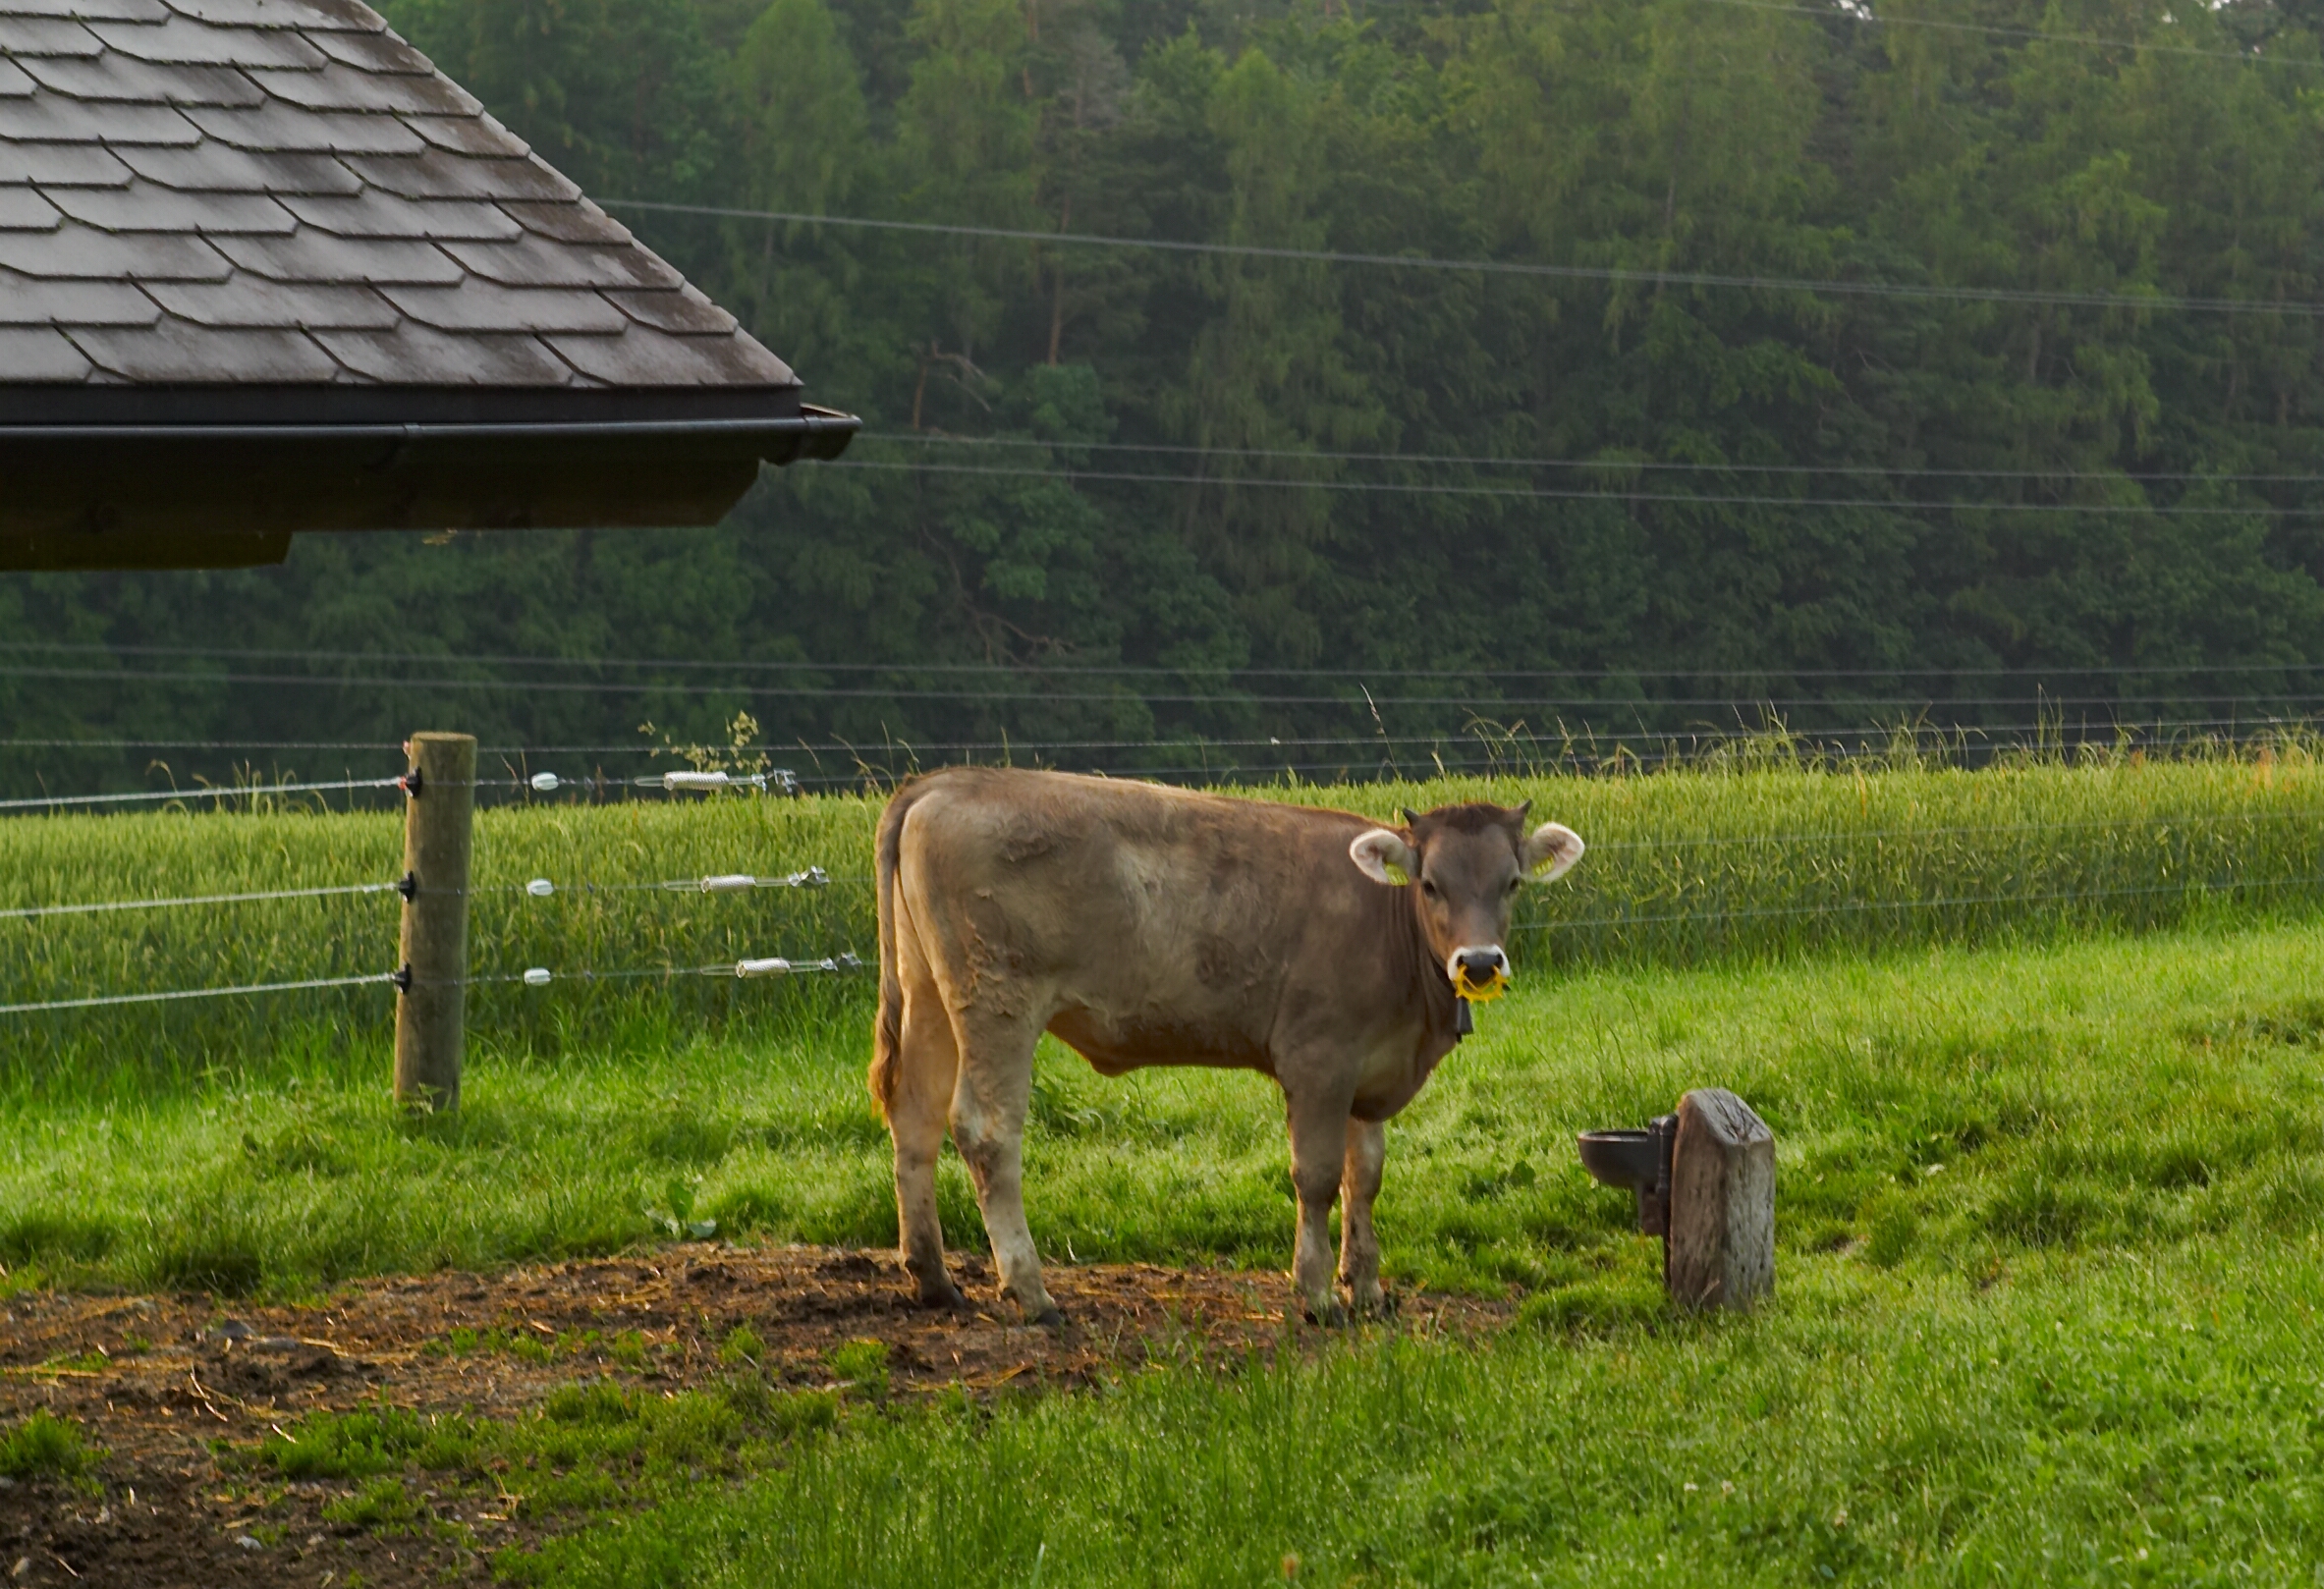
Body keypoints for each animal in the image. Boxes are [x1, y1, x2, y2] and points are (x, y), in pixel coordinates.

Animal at [868, 767, 1585, 1325]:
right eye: (1431, 884)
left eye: (1512, 882)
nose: (1480, 963)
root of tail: (945, 781)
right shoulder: (1318, 1061)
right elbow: (1318, 1178)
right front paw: (1317, 1294)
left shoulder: (1367, 1069)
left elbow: (1365, 1177)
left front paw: (1368, 1287)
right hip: (997, 1000)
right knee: (986, 1132)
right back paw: (1031, 1291)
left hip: (927, 990)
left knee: (915, 1116)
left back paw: (933, 1279)